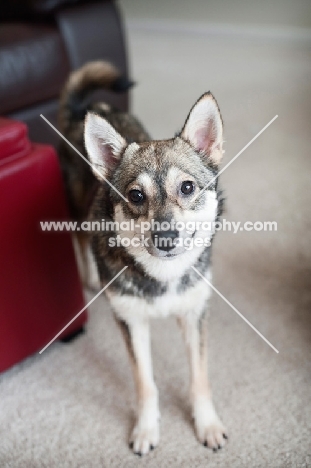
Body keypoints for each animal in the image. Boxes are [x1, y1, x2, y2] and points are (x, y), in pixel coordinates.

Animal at [59, 60, 229, 456]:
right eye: (136, 196)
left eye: (187, 187)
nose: (166, 238)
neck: (162, 276)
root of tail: (84, 109)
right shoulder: (131, 322)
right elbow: (145, 383)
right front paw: (146, 429)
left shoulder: (195, 314)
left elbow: (199, 378)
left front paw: (207, 424)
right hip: (74, 211)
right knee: (78, 240)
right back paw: (88, 278)